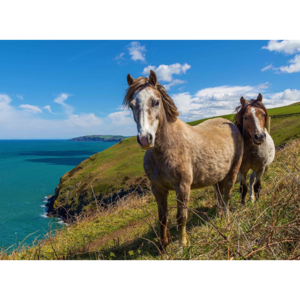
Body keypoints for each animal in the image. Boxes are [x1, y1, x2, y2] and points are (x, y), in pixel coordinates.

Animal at [124, 71, 244, 248]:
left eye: (156, 102)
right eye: (132, 105)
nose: (145, 139)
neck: (164, 151)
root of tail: (230, 124)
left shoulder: (182, 186)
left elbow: (181, 217)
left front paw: (183, 244)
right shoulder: (158, 188)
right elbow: (162, 218)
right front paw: (163, 246)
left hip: (233, 172)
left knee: (227, 196)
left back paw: (227, 220)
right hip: (217, 177)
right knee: (220, 196)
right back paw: (220, 216)